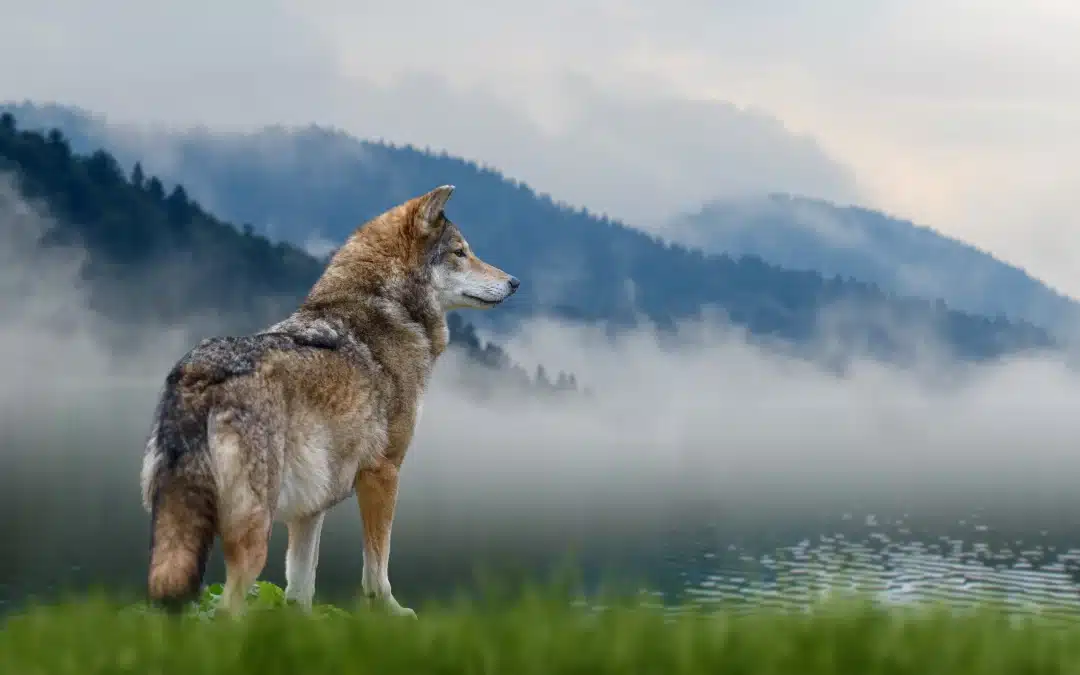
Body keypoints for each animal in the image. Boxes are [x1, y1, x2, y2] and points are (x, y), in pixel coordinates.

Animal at [140, 185, 519, 617]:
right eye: (460, 252)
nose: (514, 282)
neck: (385, 309)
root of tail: (199, 374)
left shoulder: (311, 507)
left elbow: (301, 588)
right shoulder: (383, 472)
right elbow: (377, 568)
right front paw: (392, 614)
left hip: (176, 533)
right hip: (253, 534)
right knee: (226, 610)